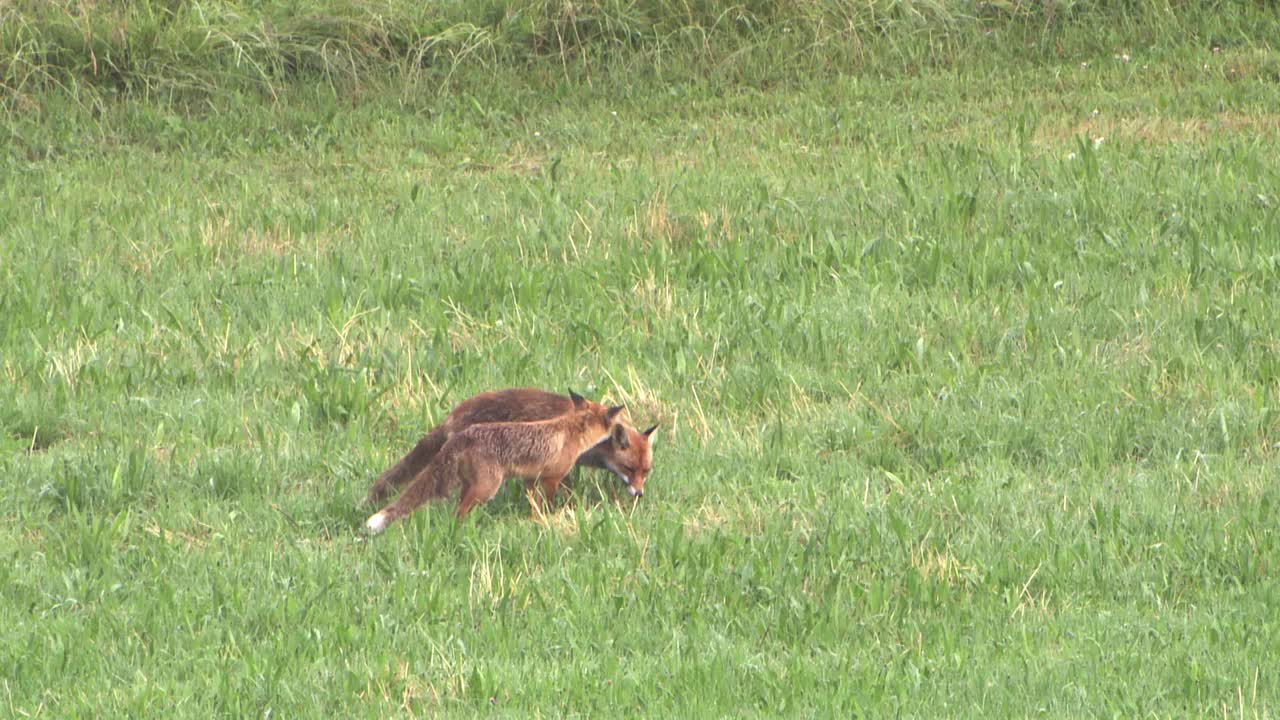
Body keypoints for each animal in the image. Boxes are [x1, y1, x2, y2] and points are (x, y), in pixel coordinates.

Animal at [366, 389, 624, 530]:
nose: (619, 431)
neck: (571, 430)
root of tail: (460, 437)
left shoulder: (530, 478)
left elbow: (534, 504)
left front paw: (535, 520)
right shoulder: (552, 477)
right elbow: (548, 502)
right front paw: (549, 518)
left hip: (470, 484)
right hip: (487, 488)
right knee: (459, 512)